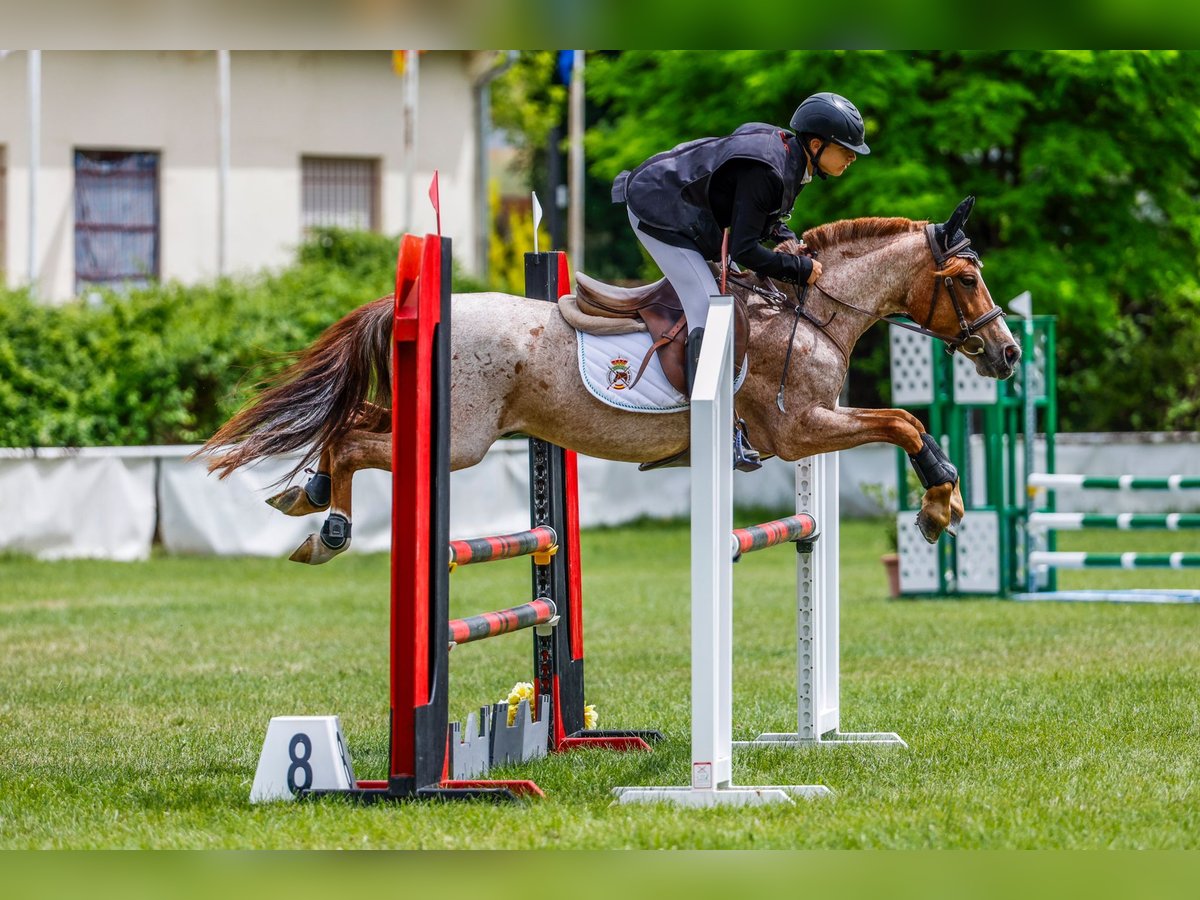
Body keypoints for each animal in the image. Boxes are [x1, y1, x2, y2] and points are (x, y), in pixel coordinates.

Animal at [199, 196, 1022, 564]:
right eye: (966, 279)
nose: (1008, 354)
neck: (808, 308)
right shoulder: (799, 430)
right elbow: (905, 422)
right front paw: (941, 506)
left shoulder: (813, 427)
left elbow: (903, 423)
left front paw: (943, 503)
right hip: (459, 441)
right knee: (356, 440)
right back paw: (331, 527)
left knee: (352, 425)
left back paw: (307, 498)